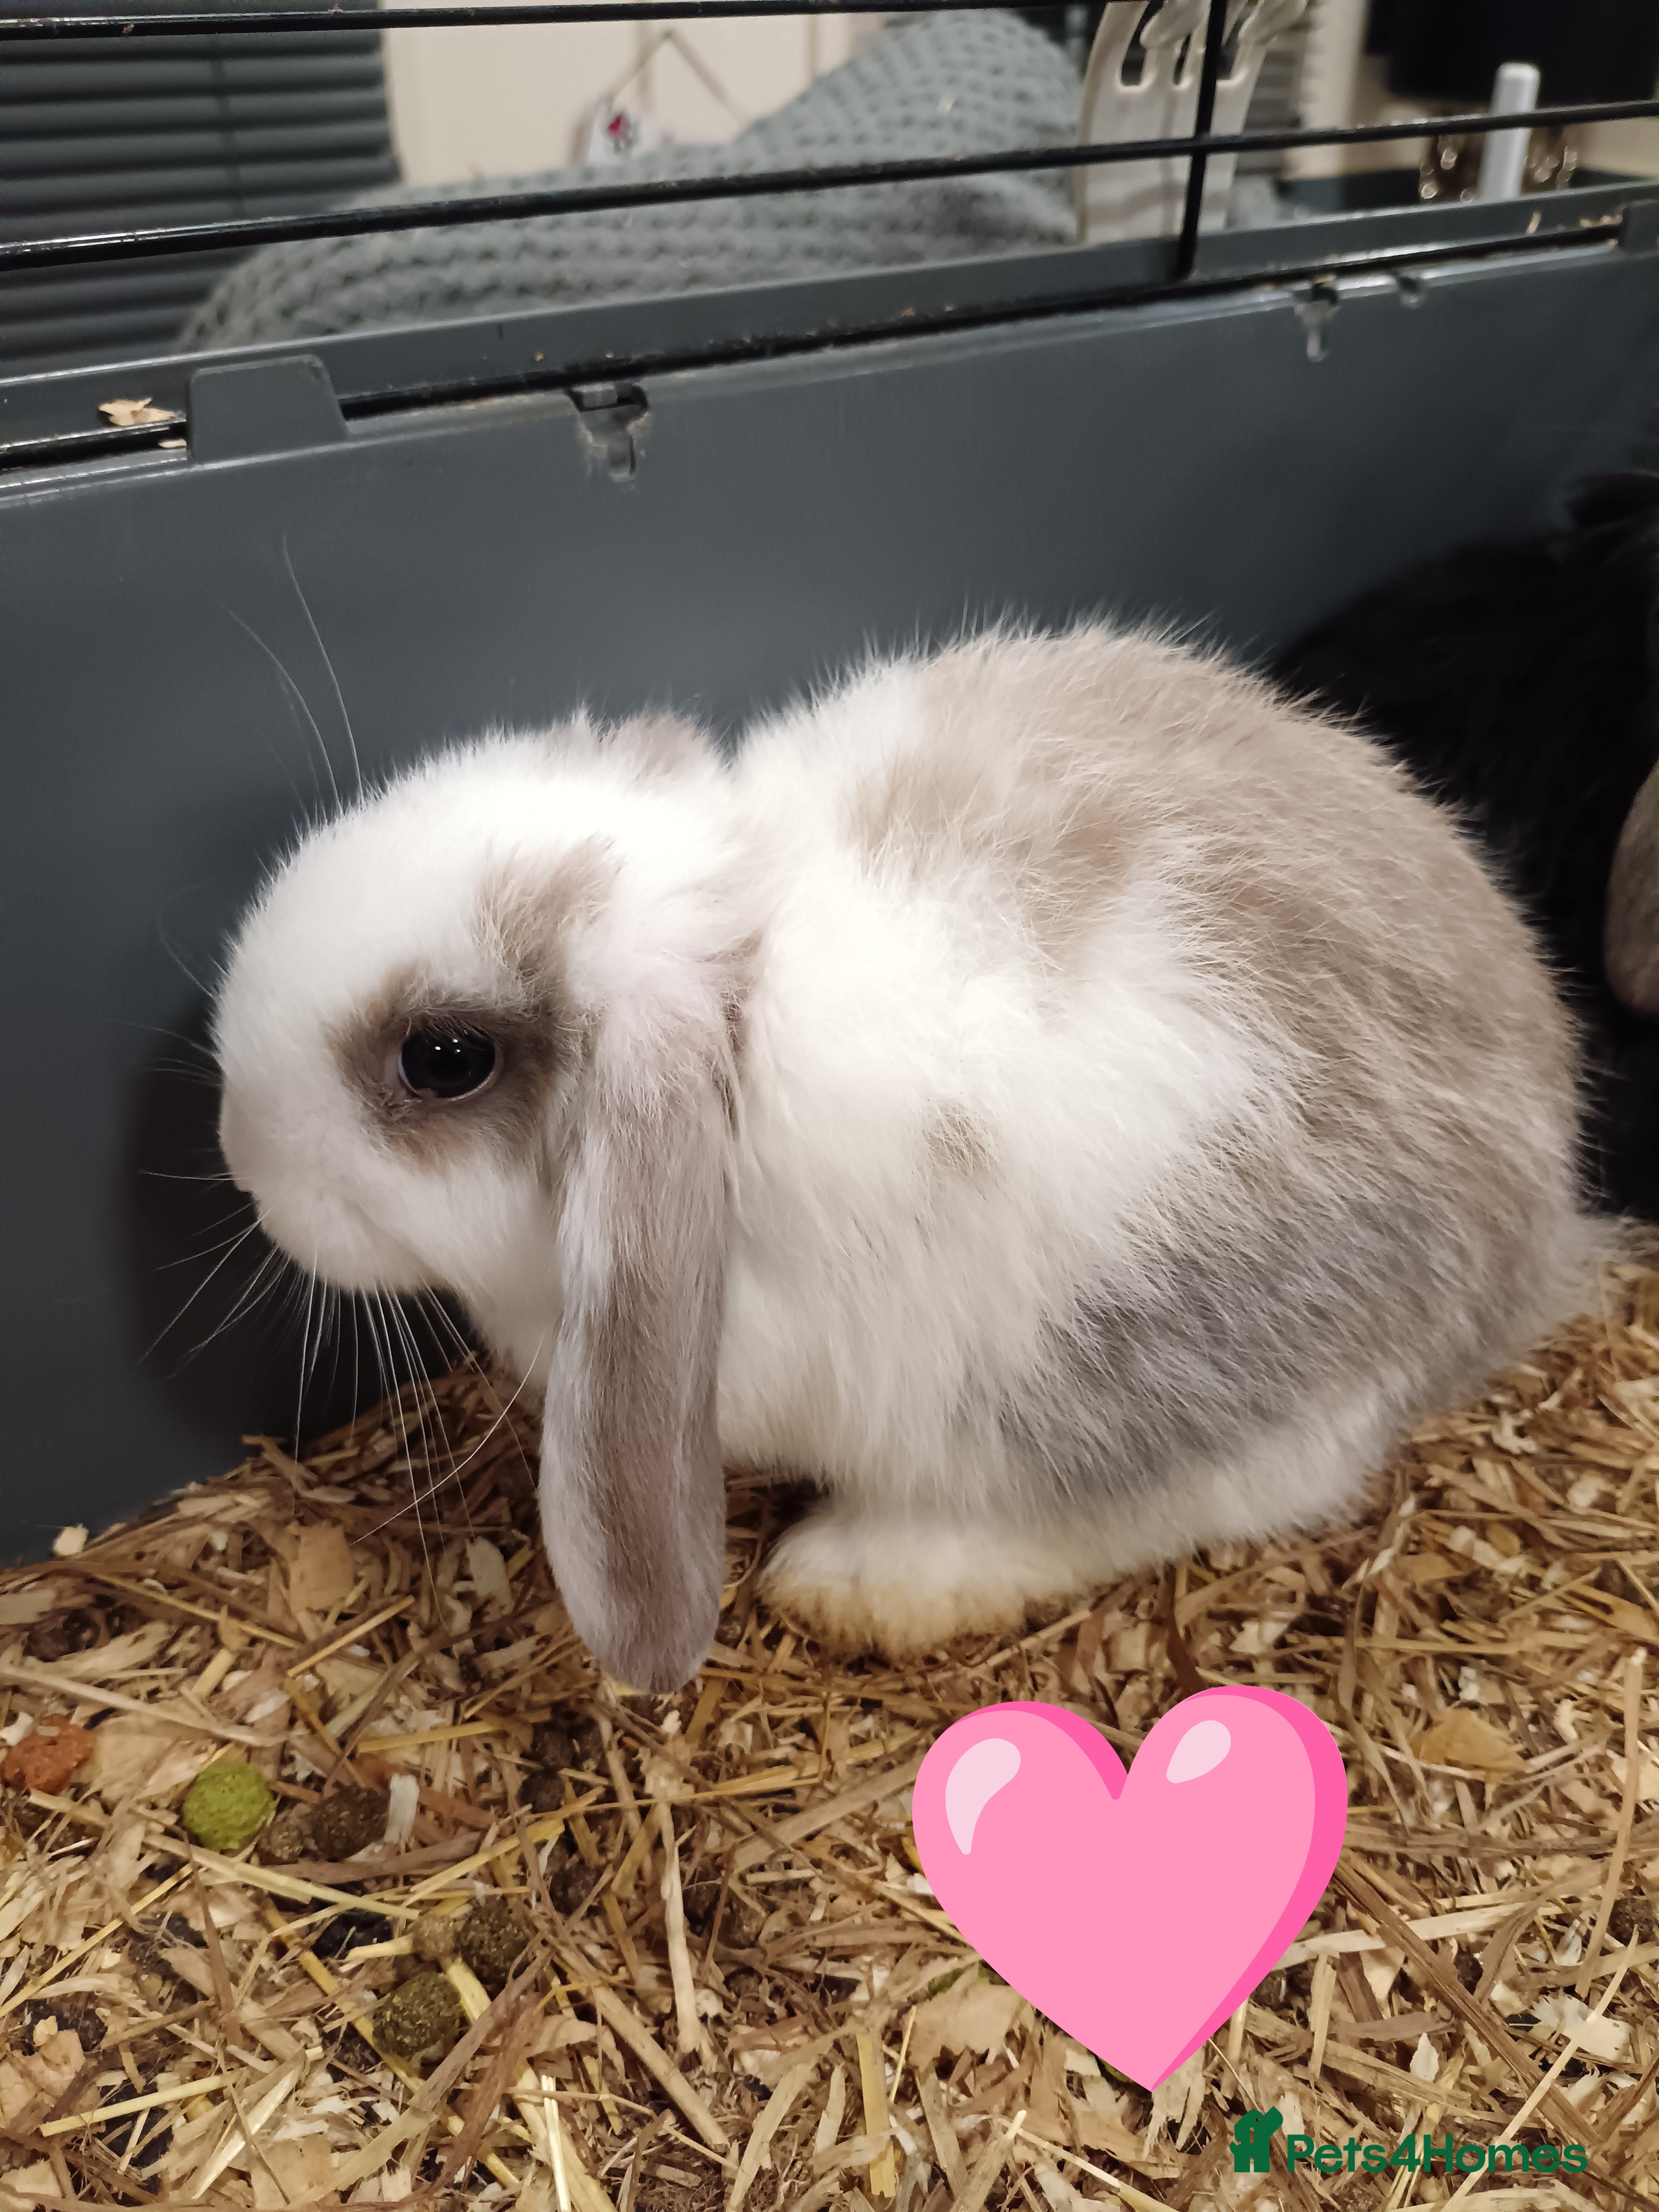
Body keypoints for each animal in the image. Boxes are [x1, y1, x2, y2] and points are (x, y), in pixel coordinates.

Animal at [214, 624, 1600, 1694]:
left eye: (443, 1058)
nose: (239, 1158)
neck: (743, 994)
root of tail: (1539, 1228)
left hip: (1160, 1392)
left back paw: (859, 1575)